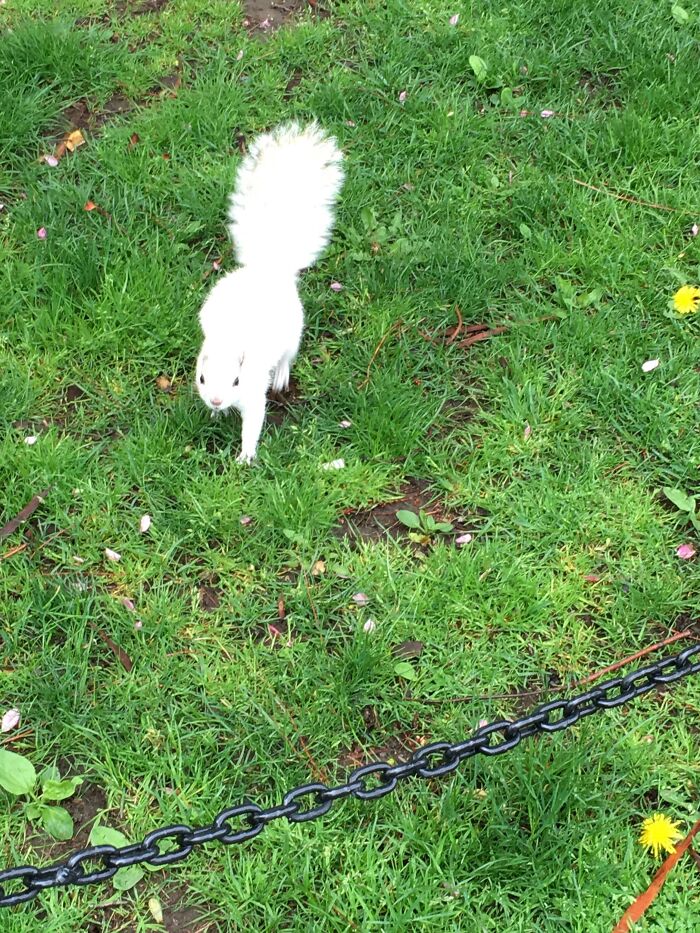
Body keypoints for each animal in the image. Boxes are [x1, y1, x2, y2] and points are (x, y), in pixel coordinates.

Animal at [195, 122, 345, 463]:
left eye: (237, 380)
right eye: (202, 378)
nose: (217, 401)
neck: (231, 337)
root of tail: (269, 268)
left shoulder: (252, 392)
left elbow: (253, 421)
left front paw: (246, 455)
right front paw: (214, 414)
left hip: (293, 333)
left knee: (288, 356)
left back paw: (282, 376)